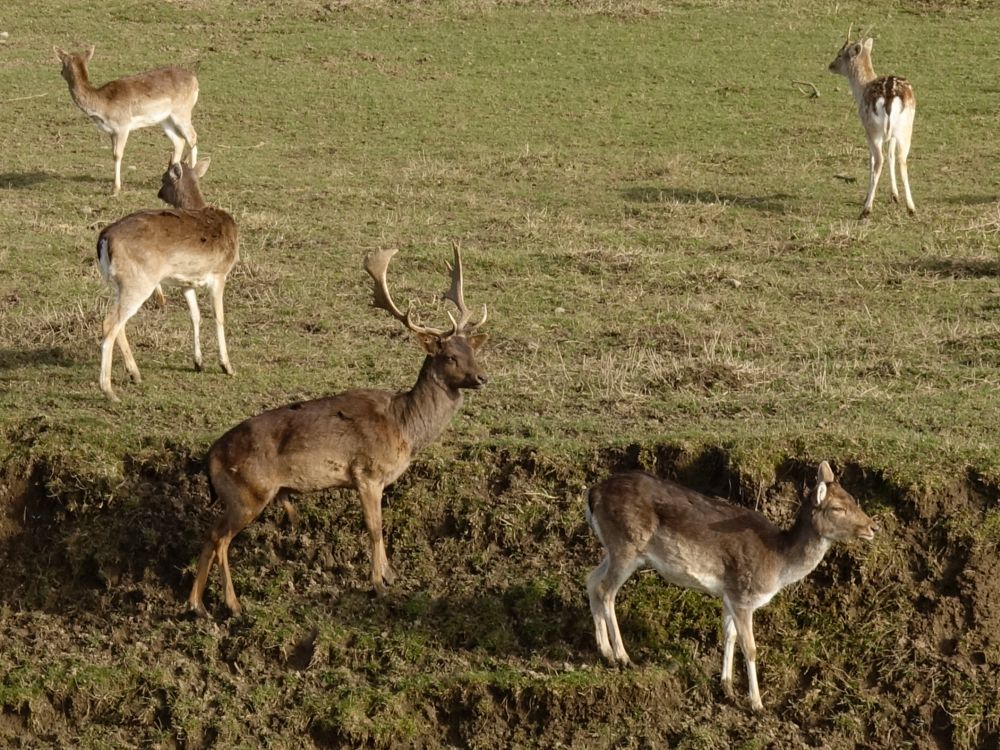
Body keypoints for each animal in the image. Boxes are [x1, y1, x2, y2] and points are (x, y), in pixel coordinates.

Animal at [54, 44, 199, 194]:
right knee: (179, 141)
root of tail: (195, 80)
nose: (61, 72)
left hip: (182, 111)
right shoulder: (111, 131)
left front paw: (115, 189)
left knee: (192, 136)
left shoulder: (123, 125)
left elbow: (118, 154)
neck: (103, 105)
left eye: (63, 62)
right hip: (165, 119)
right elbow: (113, 154)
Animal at [97, 159, 238, 402]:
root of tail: (104, 239)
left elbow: (195, 316)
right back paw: (109, 391)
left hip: (119, 284)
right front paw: (227, 366)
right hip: (139, 282)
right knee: (110, 323)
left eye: (163, 178)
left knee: (118, 323)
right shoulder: (220, 274)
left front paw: (198, 363)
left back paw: (135, 374)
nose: (159, 192)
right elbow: (219, 317)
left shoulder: (186, 283)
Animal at [186, 244, 490, 620]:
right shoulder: (366, 472)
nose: (482, 377)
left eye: (473, 350)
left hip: (239, 496)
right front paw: (378, 584)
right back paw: (231, 604)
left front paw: (391, 575)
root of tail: (211, 457)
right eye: (449, 356)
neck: (404, 427)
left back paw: (197, 605)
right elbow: (375, 528)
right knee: (219, 539)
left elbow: (380, 527)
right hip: (248, 492)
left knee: (209, 535)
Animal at [584, 462, 876, 712]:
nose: (873, 527)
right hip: (627, 546)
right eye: (837, 508)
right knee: (605, 590)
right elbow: (751, 647)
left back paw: (604, 651)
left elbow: (729, 635)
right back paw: (621, 656)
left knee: (590, 579)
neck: (779, 564)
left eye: (853, 498)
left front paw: (727, 688)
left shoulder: (729, 594)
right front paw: (757, 704)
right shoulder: (744, 596)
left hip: (614, 548)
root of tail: (593, 494)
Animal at [828, 29, 916, 217]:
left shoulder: (866, 129)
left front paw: (867, 197)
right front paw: (894, 196)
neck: (862, 88)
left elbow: (871, 160)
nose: (830, 65)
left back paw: (866, 209)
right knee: (901, 159)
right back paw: (911, 207)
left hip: (874, 129)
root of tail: (890, 97)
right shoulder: (891, 135)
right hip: (906, 129)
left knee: (879, 159)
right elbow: (891, 156)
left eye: (839, 54)